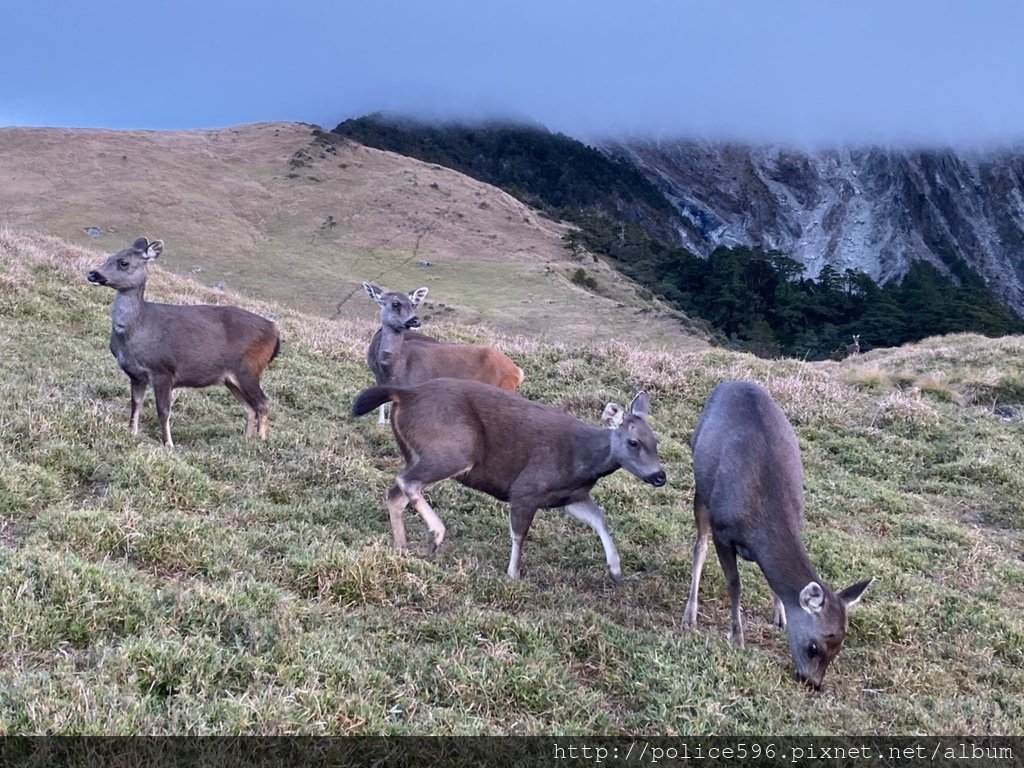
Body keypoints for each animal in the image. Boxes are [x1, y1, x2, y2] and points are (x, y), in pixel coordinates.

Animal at [86, 237, 280, 448]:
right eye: (108, 257)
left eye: (123, 262)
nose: (93, 273)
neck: (136, 331)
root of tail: (274, 331)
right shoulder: (136, 374)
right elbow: (135, 404)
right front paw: (132, 432)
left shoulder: (163, 370)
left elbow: (163, 411)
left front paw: (168, 444)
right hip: (231, 378)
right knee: (250, 407)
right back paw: (246, 440)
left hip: (249, 369)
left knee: (263, 403)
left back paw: (261, 441)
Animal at [352, 378, 667, 581]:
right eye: (634, 442)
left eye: (656, 441)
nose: (659, 476)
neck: (580, 460)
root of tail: (404, 394)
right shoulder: (527, 488)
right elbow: (519, 533)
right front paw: (513, 574)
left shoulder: (570, 496)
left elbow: (600, 519)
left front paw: (615, 571)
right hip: (453, 449)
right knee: (407, 482)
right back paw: (436, 535)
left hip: (420, 453)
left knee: (396, 492)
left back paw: (403, 547)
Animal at [679, 385, 872, 692]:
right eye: (813, 647)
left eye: (839, 647)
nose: (812, 683)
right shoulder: (724, 530)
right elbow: (735, 584)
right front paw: (737, 638)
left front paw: (780, 615)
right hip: (701, 485)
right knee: (699, 546)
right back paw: (690, 615)